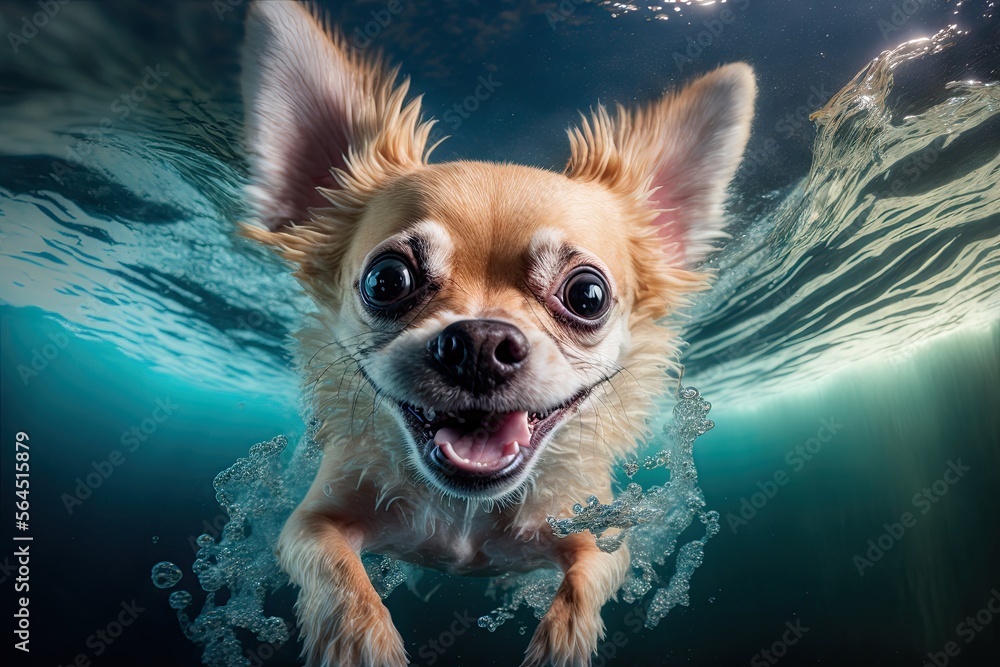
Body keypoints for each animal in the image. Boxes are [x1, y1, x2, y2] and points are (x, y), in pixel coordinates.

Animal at [240, 2, 752, 664]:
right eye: (386, 280)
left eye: (587, 296)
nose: (479, 342)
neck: (467, 515)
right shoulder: (307, 524)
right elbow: (339, 574)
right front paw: (365, 643)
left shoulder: (600, 534)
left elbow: (584, 580)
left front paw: (558, 647)